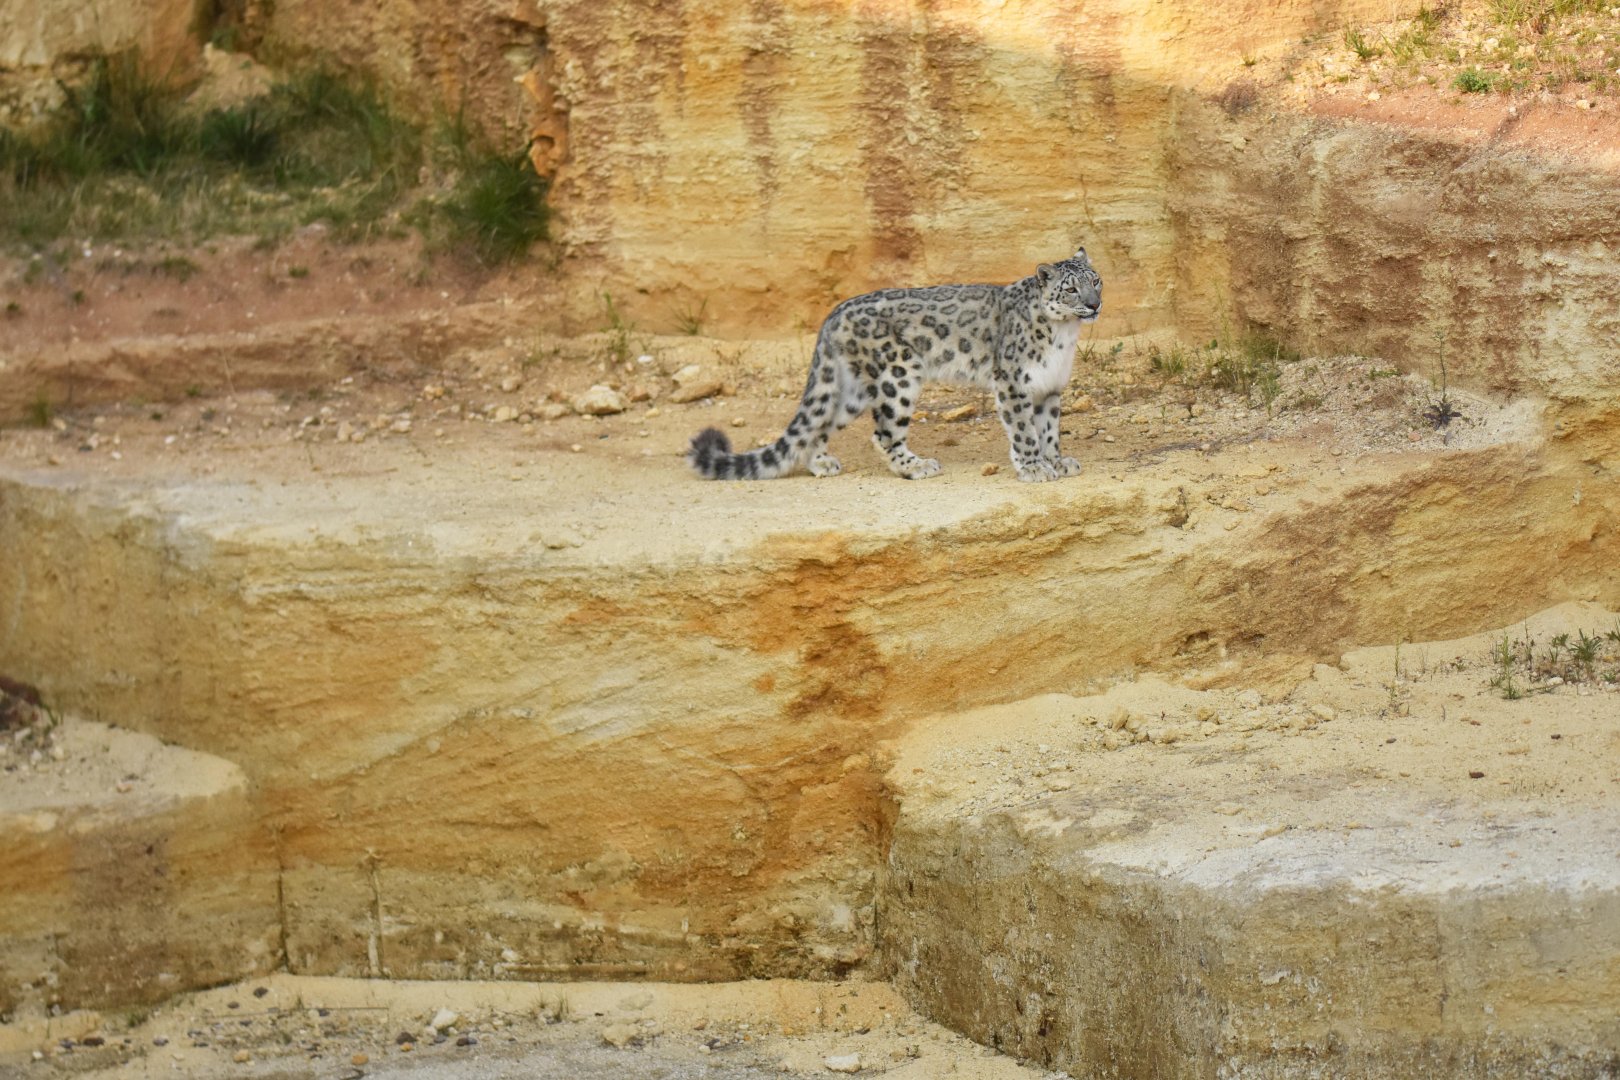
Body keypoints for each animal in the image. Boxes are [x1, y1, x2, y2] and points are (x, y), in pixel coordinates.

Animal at [687, 248, 1101, 483]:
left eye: (1095, 280)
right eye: (1070, 288)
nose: (1094, 304)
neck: (1064, 335)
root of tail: (834, 314)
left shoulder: (1050, 387)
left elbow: (1049, 430)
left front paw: (1057, 461)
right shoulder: (1014, 383)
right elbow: (1025, 431)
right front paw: (1034, 468)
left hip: (853, 390)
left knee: (821, 421)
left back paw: (822, 463)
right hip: (897, 376)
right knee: (884, 433)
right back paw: (915, 466)